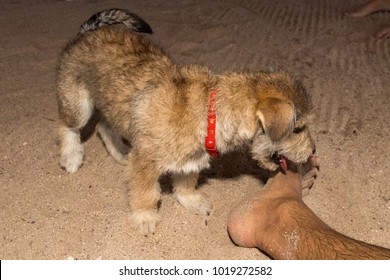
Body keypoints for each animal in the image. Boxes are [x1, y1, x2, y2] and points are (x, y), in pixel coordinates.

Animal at [56, 8, 316, 235]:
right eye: (298, 129)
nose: (313, 151)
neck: (209, 112)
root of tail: (87, 31)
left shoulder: (190, 161)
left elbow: (185, 184)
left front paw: (191, 201)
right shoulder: (145, 162)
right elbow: (146, 193)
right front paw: (145, 217)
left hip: (111, 106)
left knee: (103, 125)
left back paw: (119, 152)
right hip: (79, 105)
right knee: (67, 127)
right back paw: (71, 157)